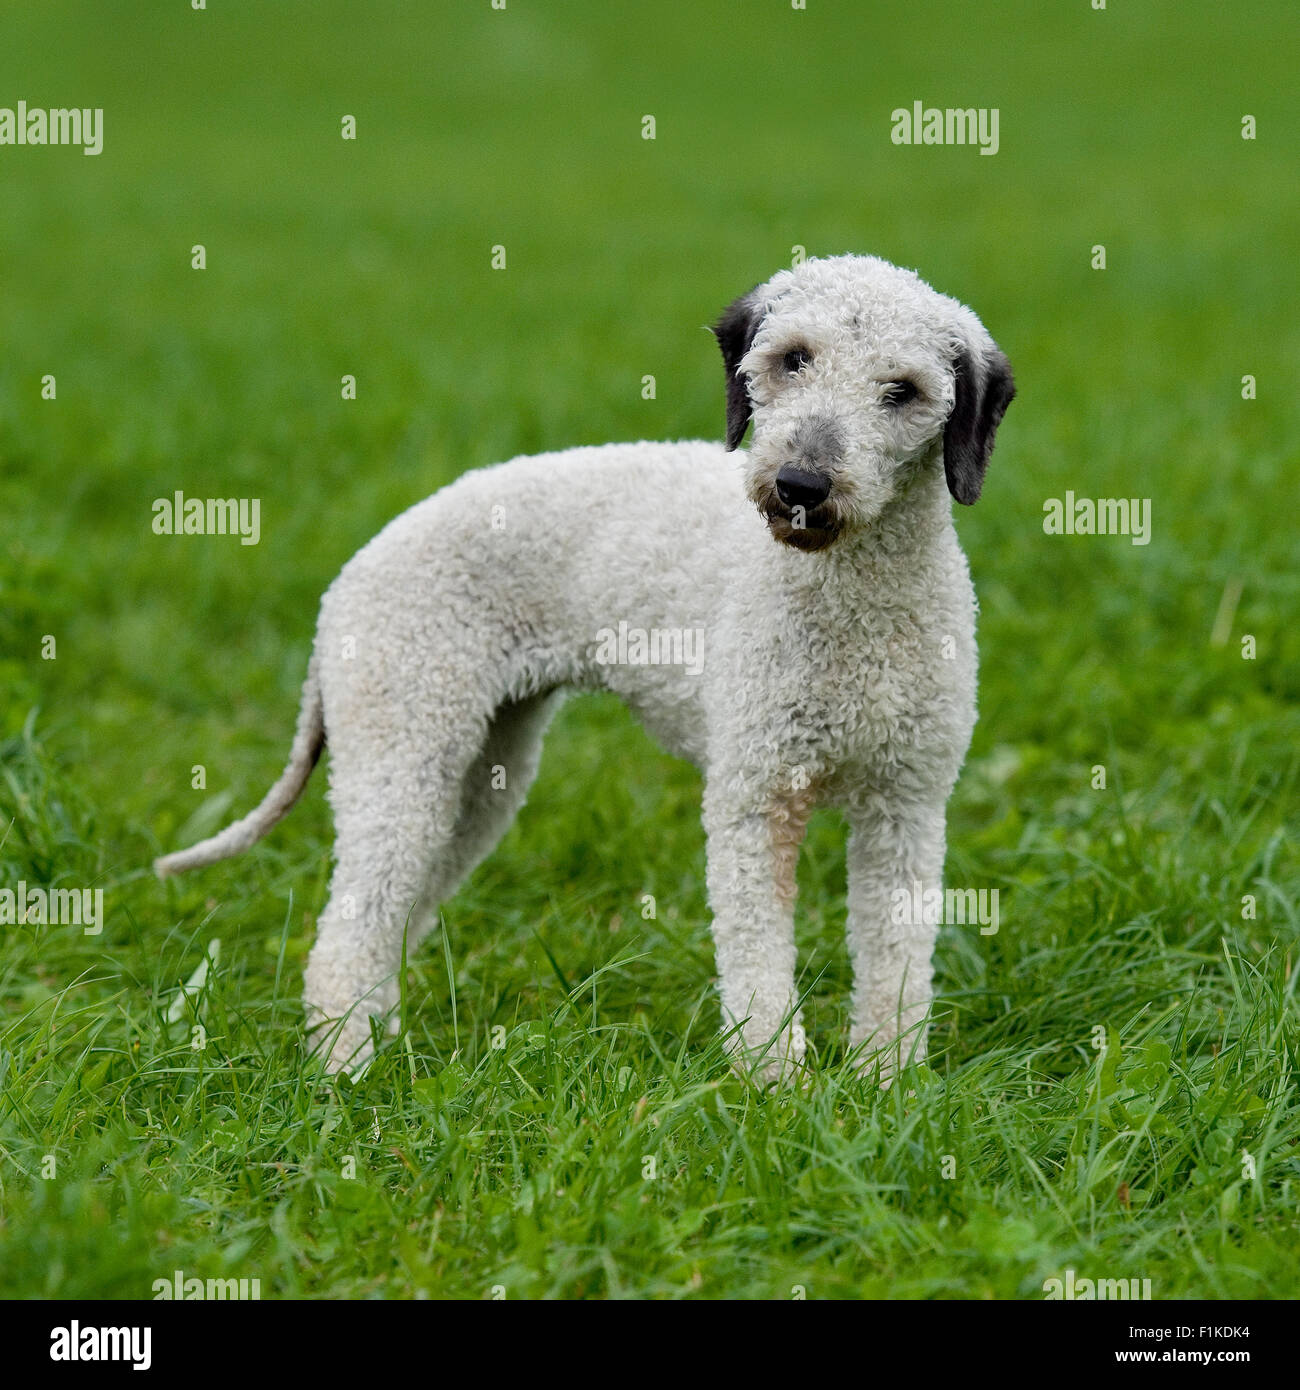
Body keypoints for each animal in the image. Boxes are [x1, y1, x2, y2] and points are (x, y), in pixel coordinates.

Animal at [157, 255, 1017, 1078]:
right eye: (792, 359)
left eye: (903, 391)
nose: (800, 484)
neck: (851, 604)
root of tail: (343, 584)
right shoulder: (754, 796)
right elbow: (759, 967)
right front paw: (779, 1091)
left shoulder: (907, 804)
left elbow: (897, 968)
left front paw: (886, 1087)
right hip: (404, 749)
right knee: (346, 934)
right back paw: (346, 1075)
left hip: (481, 776)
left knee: (390, 920)